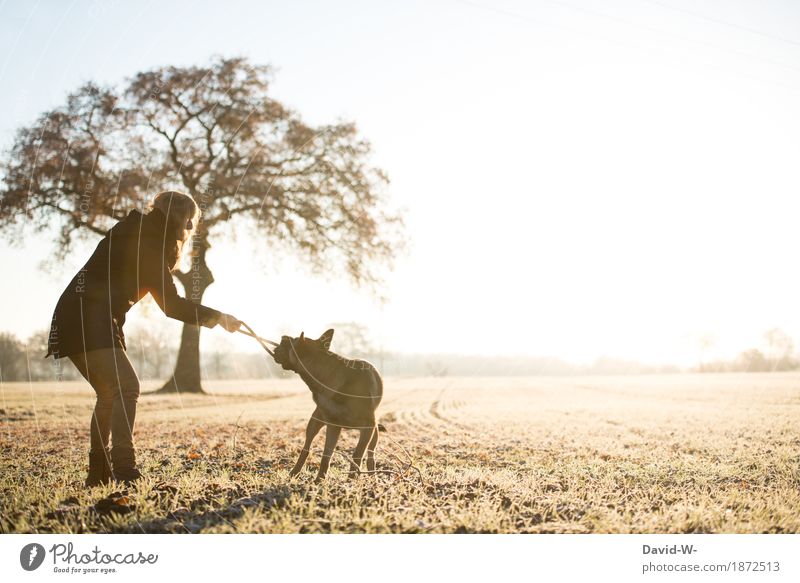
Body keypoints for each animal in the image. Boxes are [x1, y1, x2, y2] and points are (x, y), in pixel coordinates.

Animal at [272, 330, 384, 482]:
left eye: (285, 343)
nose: (274, 348)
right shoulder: (333, 426)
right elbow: (326, 455)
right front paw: (320, 479)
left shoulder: (367, 427)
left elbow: (357, 454)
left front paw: (351, 480)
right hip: (314, 422)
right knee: (306, 448)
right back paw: (294, 472)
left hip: (374, 433)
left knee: (371, 454)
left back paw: (373, 477)